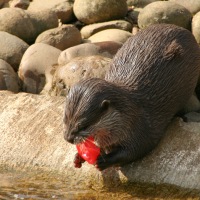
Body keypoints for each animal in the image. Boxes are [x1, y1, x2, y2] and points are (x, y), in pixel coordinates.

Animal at [63, 23, 200, 170]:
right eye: (65, 119)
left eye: (83, 125)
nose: (68, 138)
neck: (125, 117)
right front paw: (78, 157)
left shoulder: (140, 128)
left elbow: (136, 150)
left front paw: (104, 160)